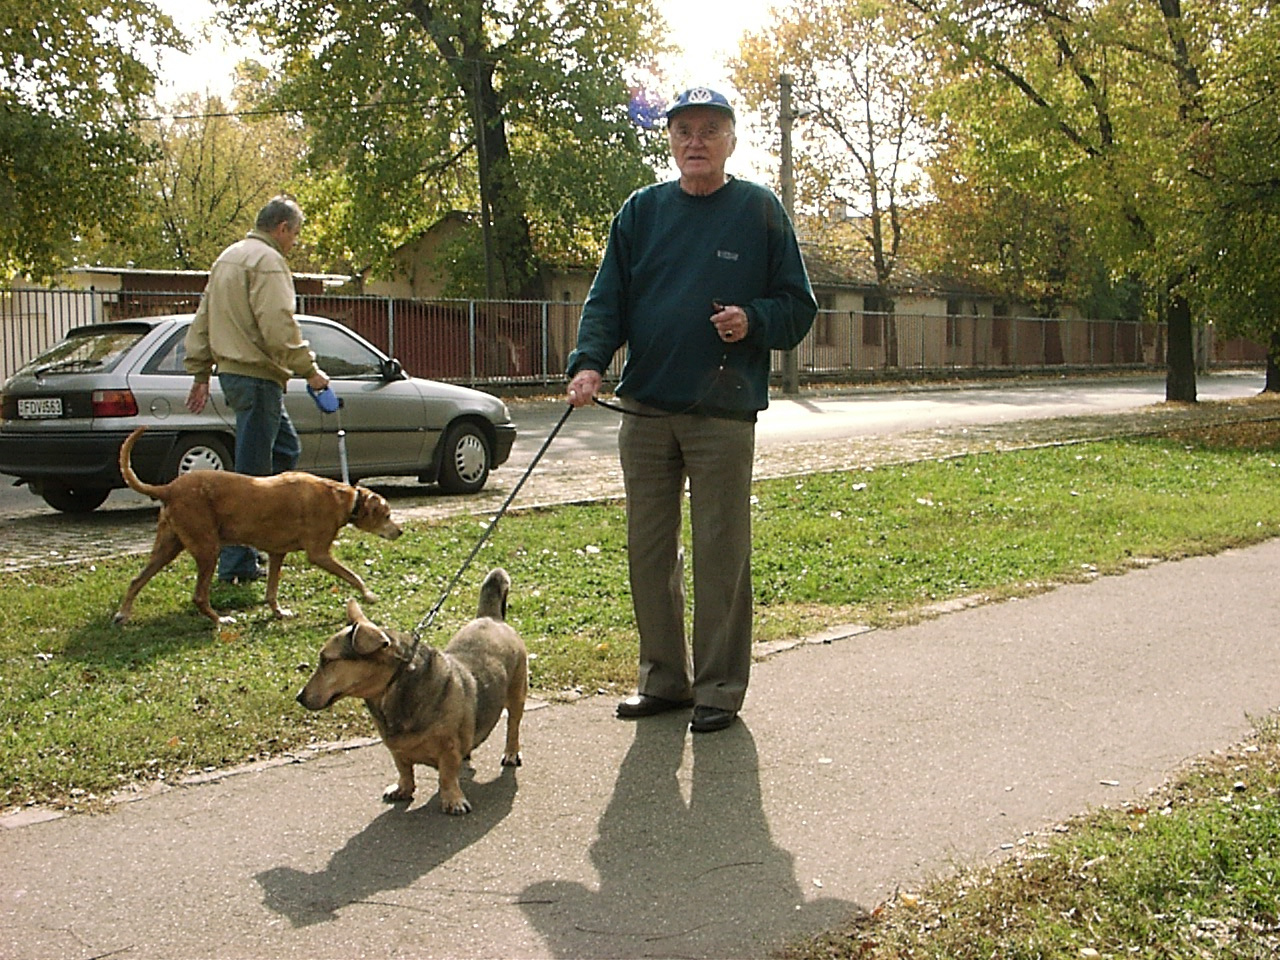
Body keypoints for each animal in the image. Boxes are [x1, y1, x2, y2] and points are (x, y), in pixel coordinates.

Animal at [119, 427, 404, 624]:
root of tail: (168, 488)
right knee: (199, 596)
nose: (400, 531)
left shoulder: (278, 553)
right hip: (208, 550)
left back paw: (123, 614)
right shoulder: (320, 554)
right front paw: (368, 595)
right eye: (387, 515)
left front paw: (279, 612)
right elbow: (353, 575)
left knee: (136, 580)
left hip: (167, 548)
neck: (343, 499)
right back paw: (221, 620)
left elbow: (271, 592)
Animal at [295, 568, 524, 814]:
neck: (393, 688)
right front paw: (403, 789)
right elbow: (404, 770)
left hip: (516, 696)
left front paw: (453, 799)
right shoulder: (397, 750)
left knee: (513, 727)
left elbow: (447, 776)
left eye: (327, 660)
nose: (299, 697)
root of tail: (491, 618)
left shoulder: (448, 750)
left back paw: (511, 753)